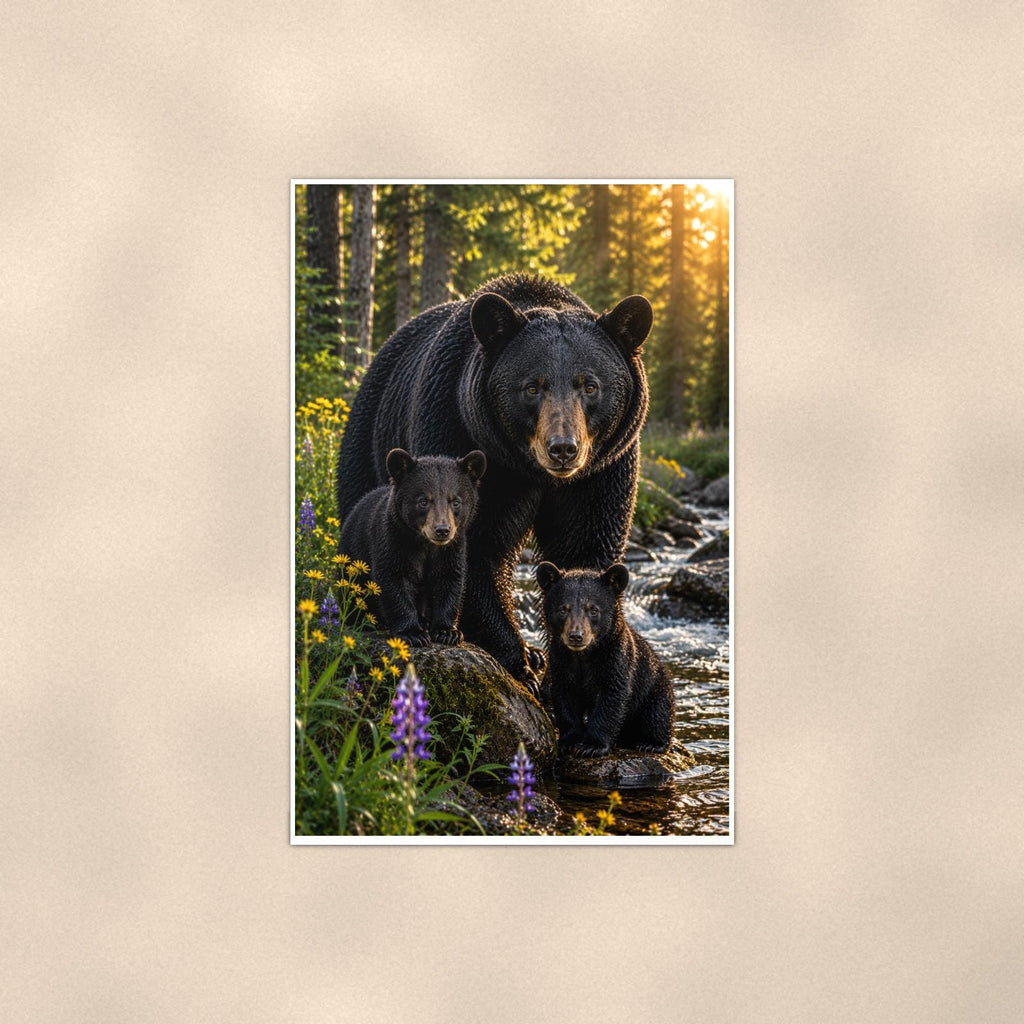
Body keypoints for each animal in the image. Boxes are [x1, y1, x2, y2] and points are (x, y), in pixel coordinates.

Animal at [338, 447, 486, 647]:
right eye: (424, 501)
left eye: (455, 501)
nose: (442, 530)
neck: (425, 544)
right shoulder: (392, 541)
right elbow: (393, 579)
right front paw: (413, 633)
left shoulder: (453, 549)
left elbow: (450, 580)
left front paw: (447, 632)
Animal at [536, 560, 675, 757]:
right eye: (563, 609)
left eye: (593, 609)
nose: (576, 636)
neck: (584, 655)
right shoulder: (560, 660)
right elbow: (564, 698)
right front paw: (569, 741)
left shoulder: (615, 659)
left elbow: (611, 697)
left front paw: (591, 746)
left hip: (654, 688)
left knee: (657, 714)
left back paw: (652, 743)